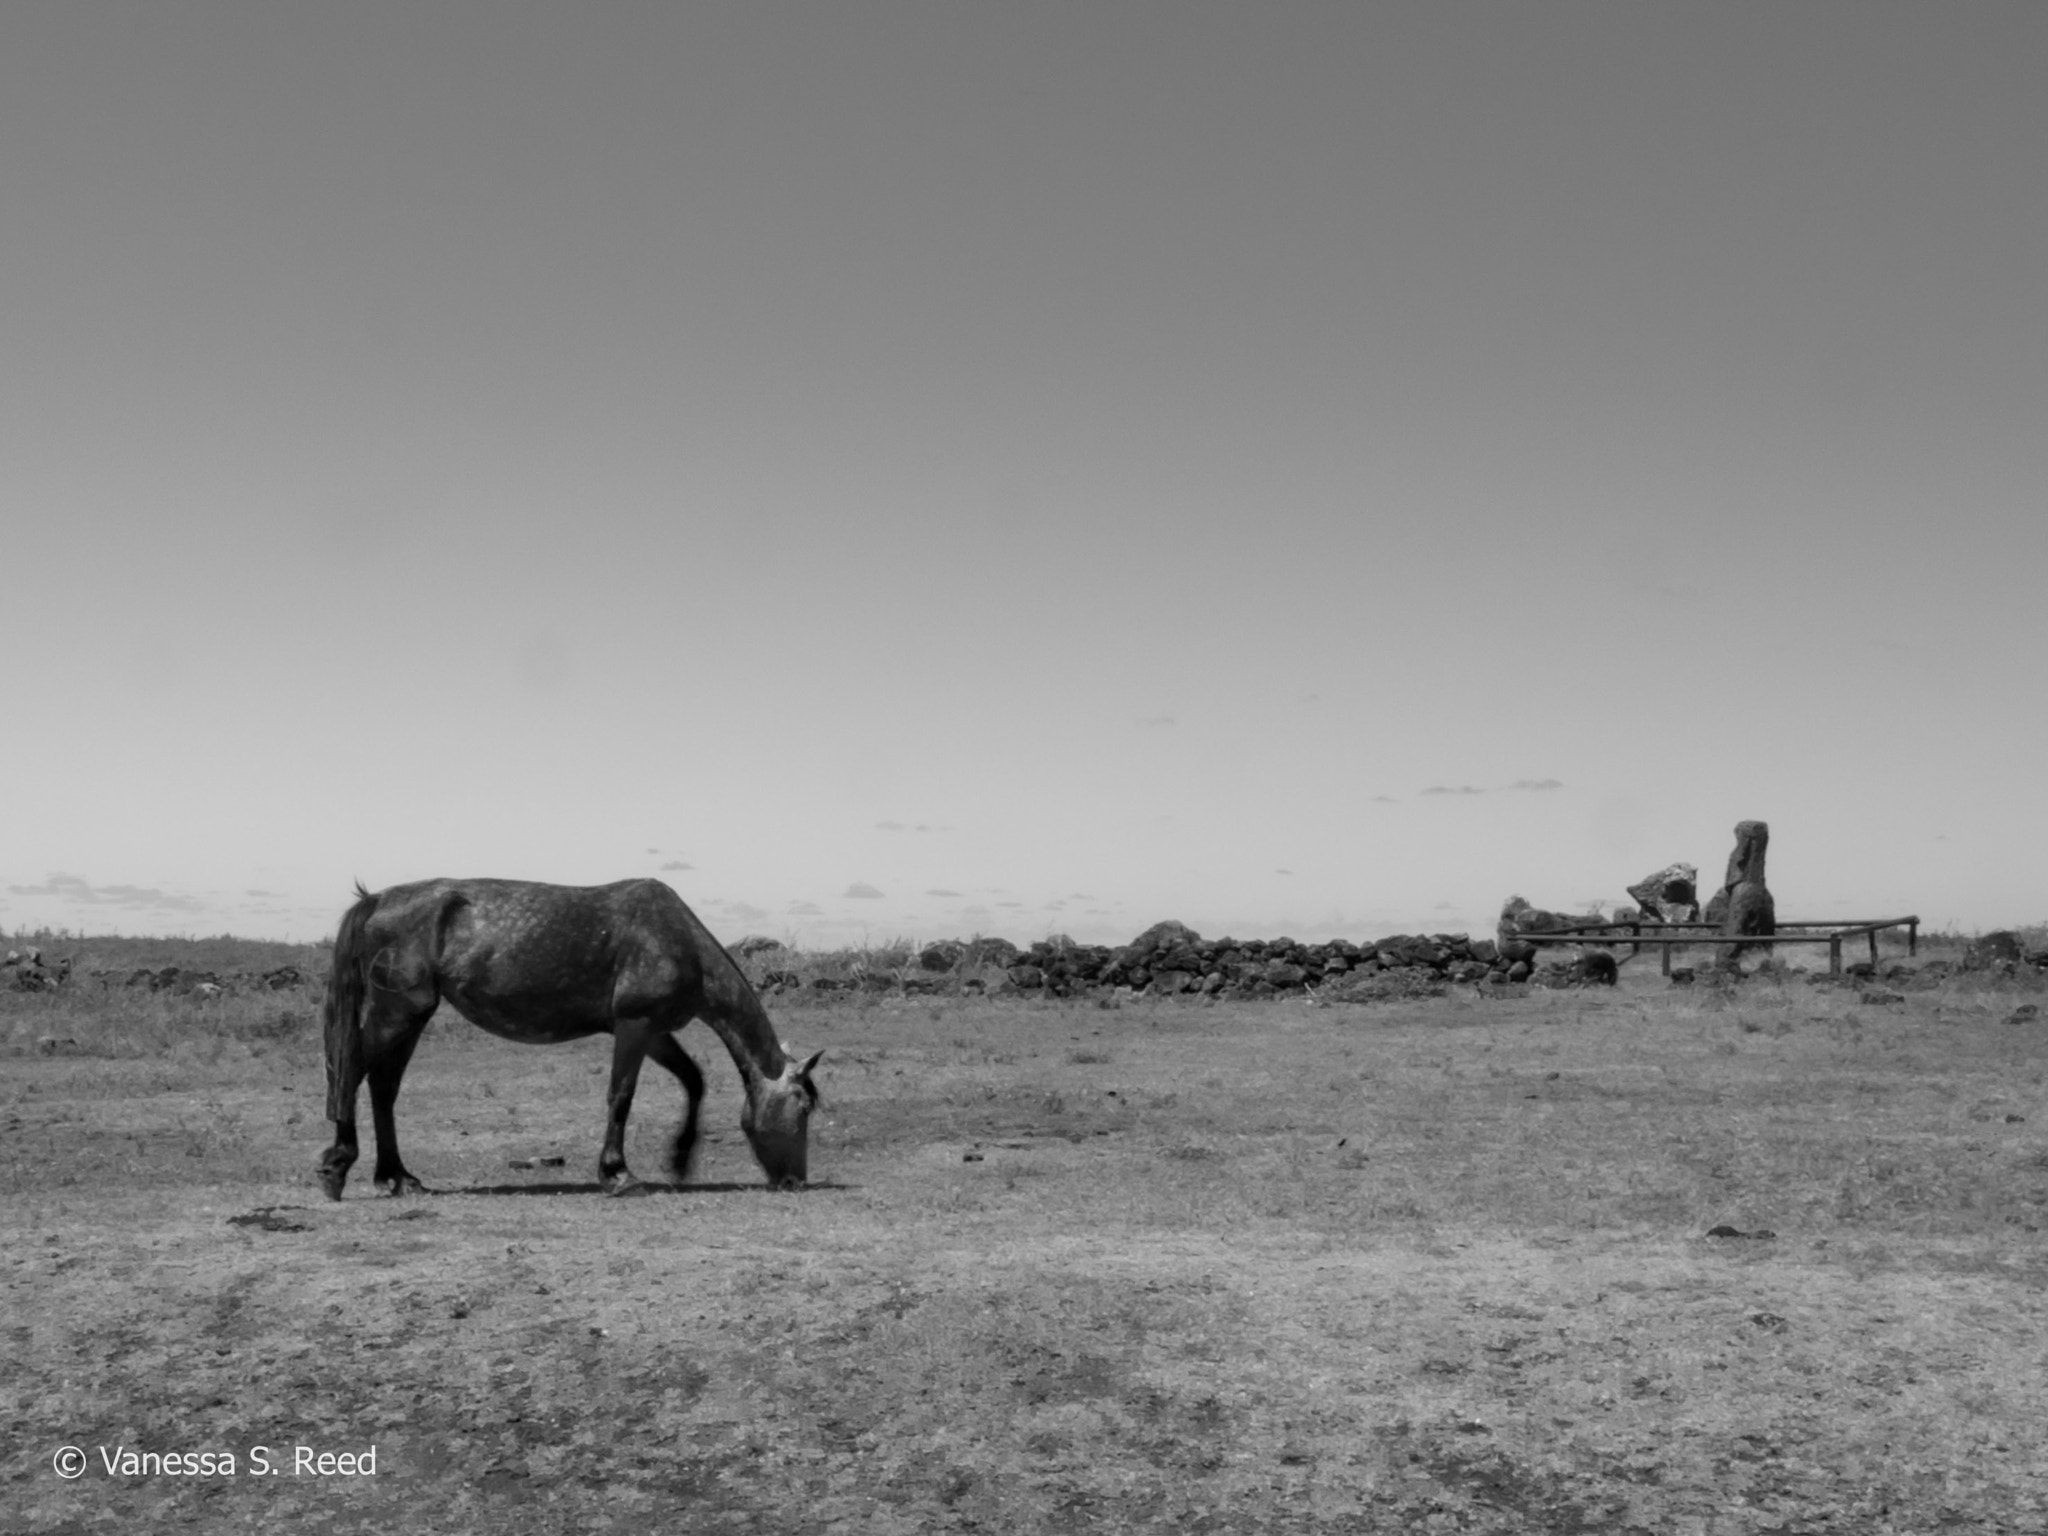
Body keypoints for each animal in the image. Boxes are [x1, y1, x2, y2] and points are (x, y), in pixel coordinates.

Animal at [315, 876, 819, 1204]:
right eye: (804, 1107)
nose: (795, 1181)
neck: (677, 939)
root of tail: (377, 900)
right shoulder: (635, 1024)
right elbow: (621, 1096)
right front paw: (618, 1175)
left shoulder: (653, 1031)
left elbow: (694, 1082)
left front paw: (679, 1159)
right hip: (397, 1014)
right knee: (352, 1075)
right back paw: (337, 1167)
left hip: (409, 1018)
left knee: (382, 1088)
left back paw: (398, 1178)